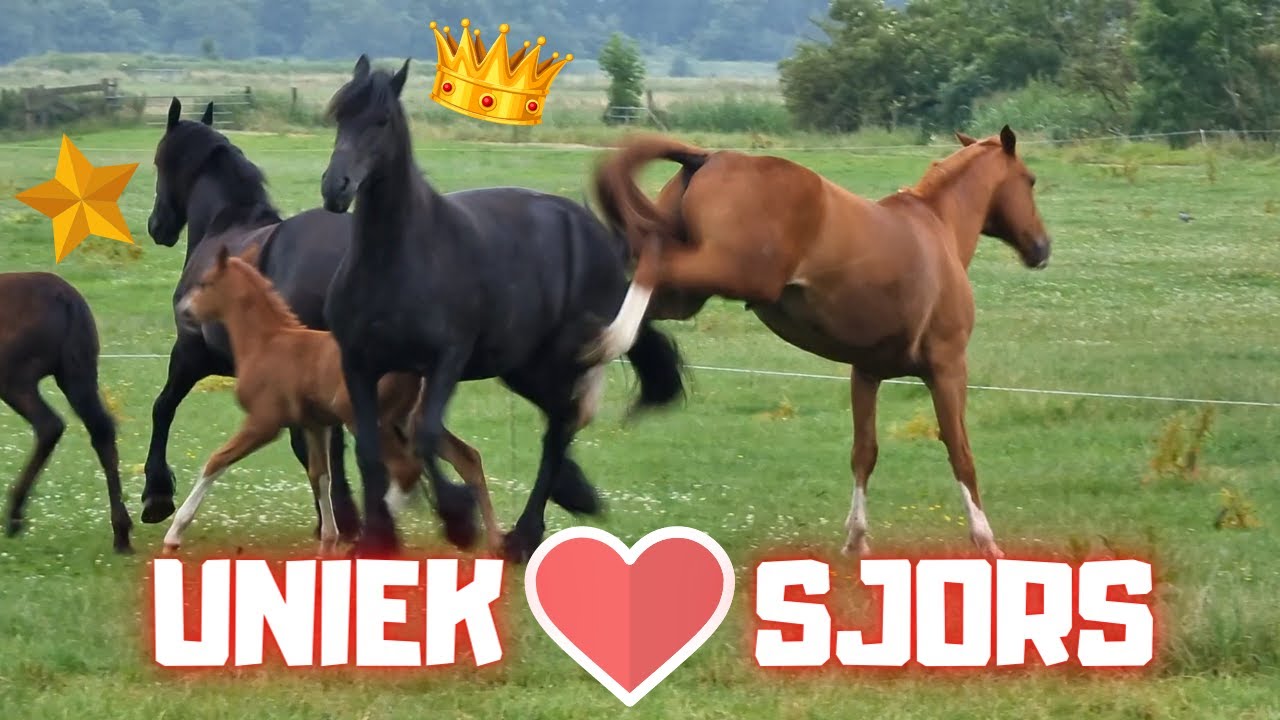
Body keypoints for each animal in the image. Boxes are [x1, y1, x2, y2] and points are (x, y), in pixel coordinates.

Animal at [0, 272, 133, 553]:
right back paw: (121, 533)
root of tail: (63, 296)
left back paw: (15, 516)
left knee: (49, 425)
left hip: (15, 382)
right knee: (102, 433)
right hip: (76, 376)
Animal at [143, 98, 362, 541]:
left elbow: (163, 407)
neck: (225, 226)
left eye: (159, 162)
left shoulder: (191, 354)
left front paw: (156, 495)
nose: (157, 226)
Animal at [162, 245, 502, 553]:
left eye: (205, 283)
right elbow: (320, 476)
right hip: (407, 420)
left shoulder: (264, 423)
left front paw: (175, 533)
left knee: (406, 469)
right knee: (466, 458)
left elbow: (216, 461)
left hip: (364, 418)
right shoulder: (316, 426)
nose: (184, 310)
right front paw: (328, 541)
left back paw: (378, 535)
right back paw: (494, 542)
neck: (267, 342)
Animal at [319, 56, 686, 561]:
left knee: (560, 427)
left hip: (558, 359)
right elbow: (370, 449)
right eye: (340, 117)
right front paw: (379, 537)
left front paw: (459, 519)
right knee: (561, 421)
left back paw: (525, 535)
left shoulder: (445, 361)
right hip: (523, 367)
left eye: (382, 121)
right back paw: (569, 496)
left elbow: (424, 434)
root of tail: (596, 233)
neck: (396, 259)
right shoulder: (358, 363)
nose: (335, 189)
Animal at [587, 128, 1052, 559]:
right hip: (727, 273)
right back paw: (609, 344)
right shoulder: (947, 368)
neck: (938, 227)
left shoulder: (866, 373)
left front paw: (856, 541)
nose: (1041, 248)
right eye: (1029, 180)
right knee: (651, 262)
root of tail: (706, 158)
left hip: (687, 297)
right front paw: (986, 541)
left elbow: (864, 452)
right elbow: (961, 453)